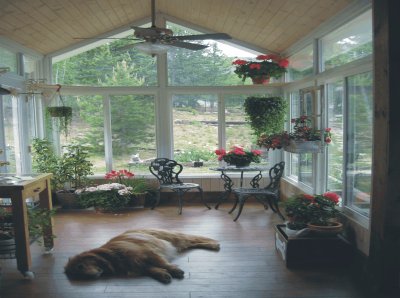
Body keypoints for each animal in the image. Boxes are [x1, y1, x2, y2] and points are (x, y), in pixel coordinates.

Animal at [63, 229, 219, 282]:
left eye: (80, 266)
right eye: (78, 274)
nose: (91, 277)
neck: (112, 256)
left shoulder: (147, 253)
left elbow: (162, 263)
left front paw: (174, 270)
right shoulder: (138, 263)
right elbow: (150, 269)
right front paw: (162, 275)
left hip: (172, 238)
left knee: (192, 239)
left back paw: (213, 244)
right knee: (191, 243)